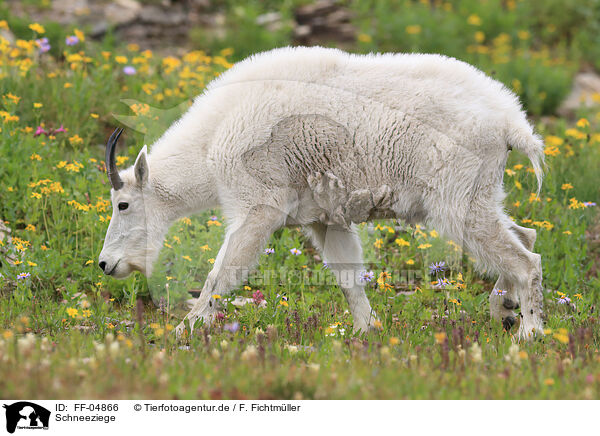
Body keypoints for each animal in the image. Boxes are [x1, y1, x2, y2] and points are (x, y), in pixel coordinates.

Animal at [97, 46, 544, 340]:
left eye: (123, 204)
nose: (105, 264)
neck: (211, 142)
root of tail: (511, 124)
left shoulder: (258, 206)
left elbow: (219, 274)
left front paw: (182, 331)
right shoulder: (323, 218)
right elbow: (348, 277)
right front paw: (367, 331)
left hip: (456, 198)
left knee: (525, 260)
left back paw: (530, 332)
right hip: (480, 193)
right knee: (526, 235)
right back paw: (506, 310)